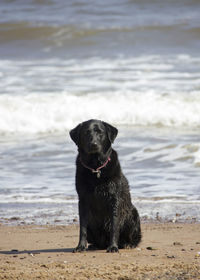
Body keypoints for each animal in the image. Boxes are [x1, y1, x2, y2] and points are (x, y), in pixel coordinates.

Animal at [69, 119, 141, 253]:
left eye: (100, 132)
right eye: (86, 133)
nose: (94, 144)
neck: (96, 167)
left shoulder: (114, 200)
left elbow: (114, 226)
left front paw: (113, 247)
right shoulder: (83, 201)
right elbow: (82, 228)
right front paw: (80, 246)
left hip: (133, 214)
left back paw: (128, 244)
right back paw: (94, 246)